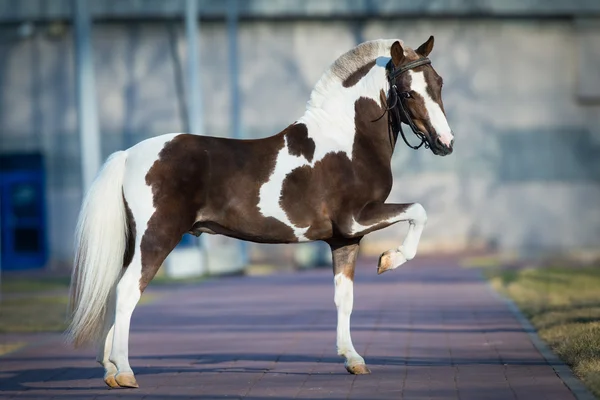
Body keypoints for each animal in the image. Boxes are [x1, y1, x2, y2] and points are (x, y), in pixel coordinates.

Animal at [68, 36, 454, 388]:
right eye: (407, 93)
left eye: (438, 83)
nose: (445, 143)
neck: (347, 142)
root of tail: (129, 155)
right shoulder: (358, 218)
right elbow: (418, 211)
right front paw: (390, 259)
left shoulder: (345, 239)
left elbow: (344, 298)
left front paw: (353, 359)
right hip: (157, 238)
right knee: (127, 291)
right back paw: (125, 371)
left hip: (132, 245)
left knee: (114, 292)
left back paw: (110, 370)